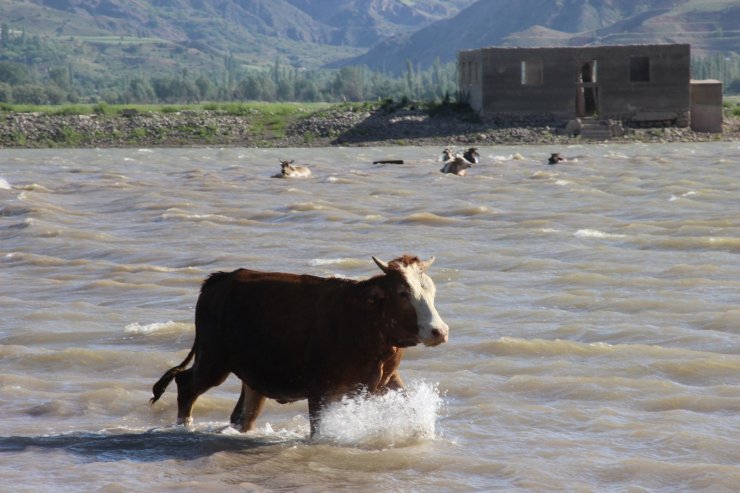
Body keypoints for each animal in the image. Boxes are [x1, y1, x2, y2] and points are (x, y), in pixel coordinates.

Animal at [150, 254, 448, 434]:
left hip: (253, 374)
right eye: (402, 293)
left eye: (432, 290)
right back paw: (184, 428)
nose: (439, 331)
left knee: (243, 413)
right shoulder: (320, 390)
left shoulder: (386, 379)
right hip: (213, 359)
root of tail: (218, 280)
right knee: (186, 385)